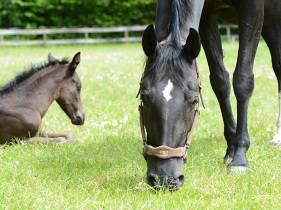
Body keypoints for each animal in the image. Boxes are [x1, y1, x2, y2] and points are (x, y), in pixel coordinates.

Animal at [139, 0, 280, 188]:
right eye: (144, 97)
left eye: (194, 100)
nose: (165, 178)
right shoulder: (207, 16)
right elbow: (220, 80)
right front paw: (231, 149)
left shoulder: (252, 11)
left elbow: (243, 80)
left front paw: (240, 158)